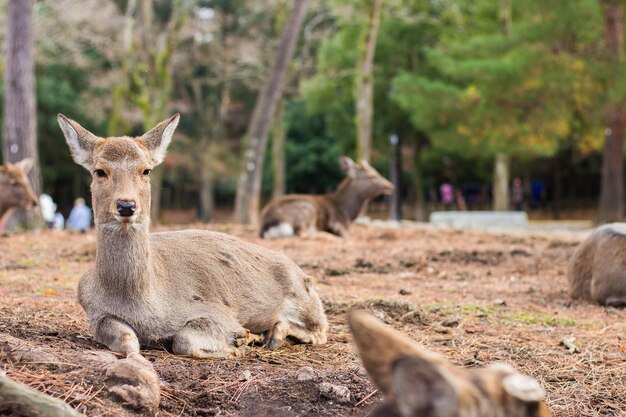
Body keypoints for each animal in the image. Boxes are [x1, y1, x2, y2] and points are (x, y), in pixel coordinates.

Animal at [56, 112, 326, 360]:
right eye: (100, 171)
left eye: (146, 170)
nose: (126, 205)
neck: (146, 305)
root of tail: (302, 274)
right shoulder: (96, 313)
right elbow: (125, 340)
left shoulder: (216, 311)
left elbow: (183, 340)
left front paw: (240, 340)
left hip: (305, 300)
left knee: (320, 329)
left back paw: (272, 335)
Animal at [258, 155, 390, 239]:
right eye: (372, 176)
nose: (390, 185)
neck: (347, 213)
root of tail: (266, 225)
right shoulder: (338, 223)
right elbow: (347, 235)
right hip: (306, 210)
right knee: (301, 233)